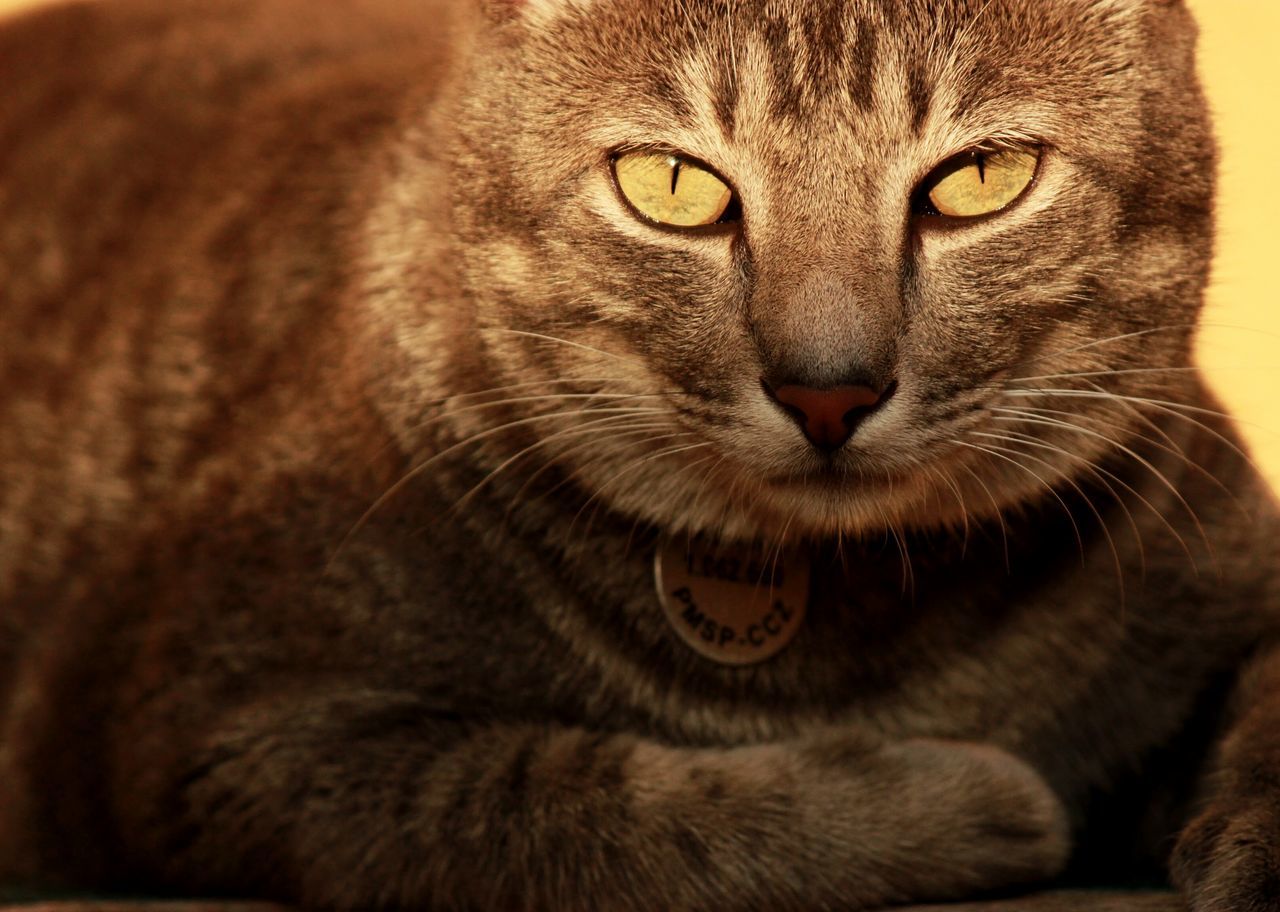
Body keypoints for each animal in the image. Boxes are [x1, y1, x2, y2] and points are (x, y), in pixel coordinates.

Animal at [0, 0, 1274, 906]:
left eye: (977, 180)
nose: (827, 387)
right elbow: (576, 805)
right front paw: (974, 800)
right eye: (670, 186)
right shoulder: (220, 729)